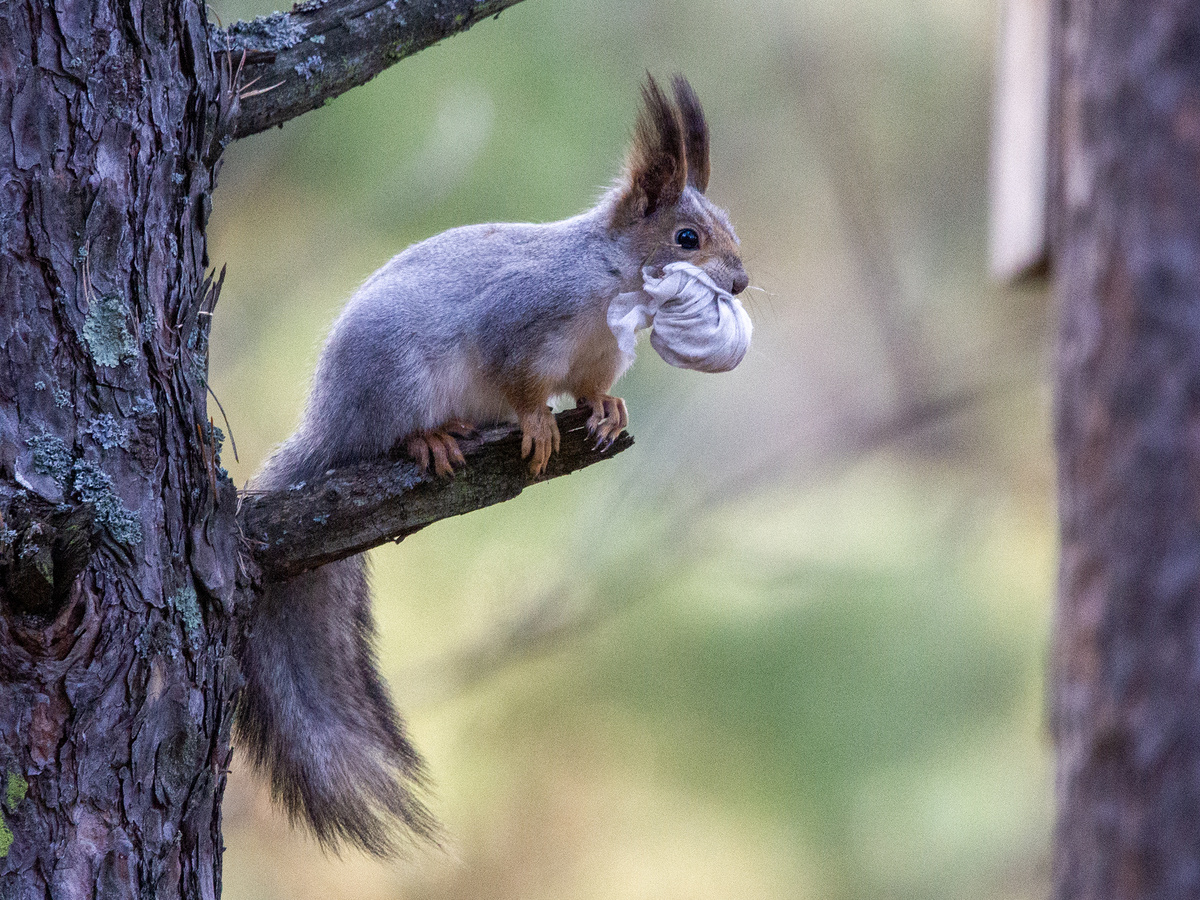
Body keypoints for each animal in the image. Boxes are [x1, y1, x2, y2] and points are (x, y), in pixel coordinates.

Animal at [236, 75, 749, 856]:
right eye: (687, 238)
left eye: (730, 230)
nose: (743, 281)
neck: (610, 285)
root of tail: (328, 427)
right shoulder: (517, 324)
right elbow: (520, 381)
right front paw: (537, 422)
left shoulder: (599, 355)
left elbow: (593, 388)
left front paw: (607, 411)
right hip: (395, 379)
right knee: (391, 435)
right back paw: (432, 441)